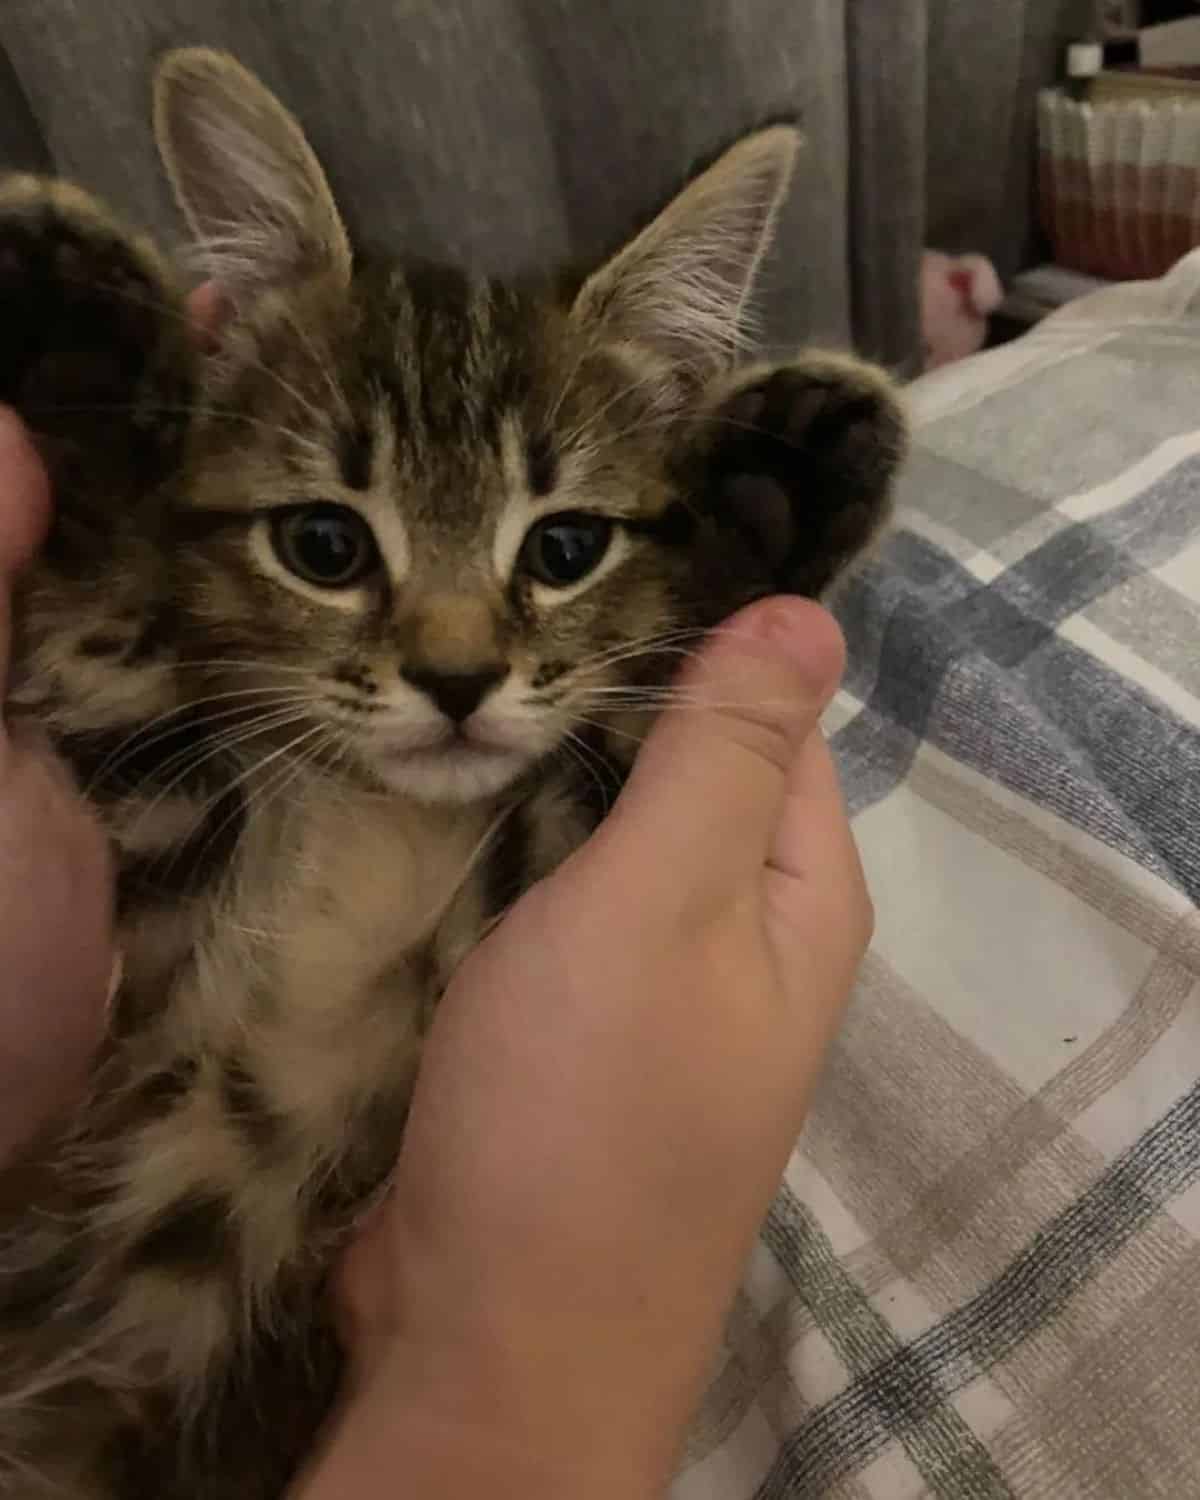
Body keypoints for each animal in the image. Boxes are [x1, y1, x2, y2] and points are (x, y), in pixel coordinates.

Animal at [0, 46, 906, 1500]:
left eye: (565, 549)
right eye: (324, 545)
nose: (458, 677)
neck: (374, 836)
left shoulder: (542, 868)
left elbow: (627, 722)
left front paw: (771, 487)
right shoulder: (152, 959)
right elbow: (110, 618)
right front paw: (81, 341)